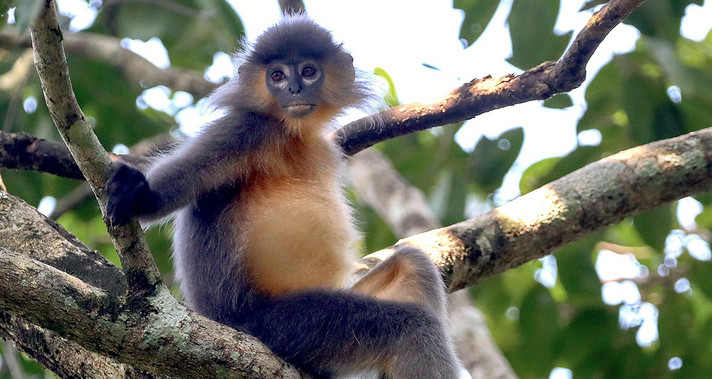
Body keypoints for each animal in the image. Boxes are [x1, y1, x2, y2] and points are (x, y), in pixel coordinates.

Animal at [106, 16, 462, 378]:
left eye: (308, 71)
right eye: (276, 75)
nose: (294, 89)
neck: (292, 132)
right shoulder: (246, 128)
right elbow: (175, 186)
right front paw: (138, 192)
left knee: (413, 263)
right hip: (282, 324)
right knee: (410, 326)